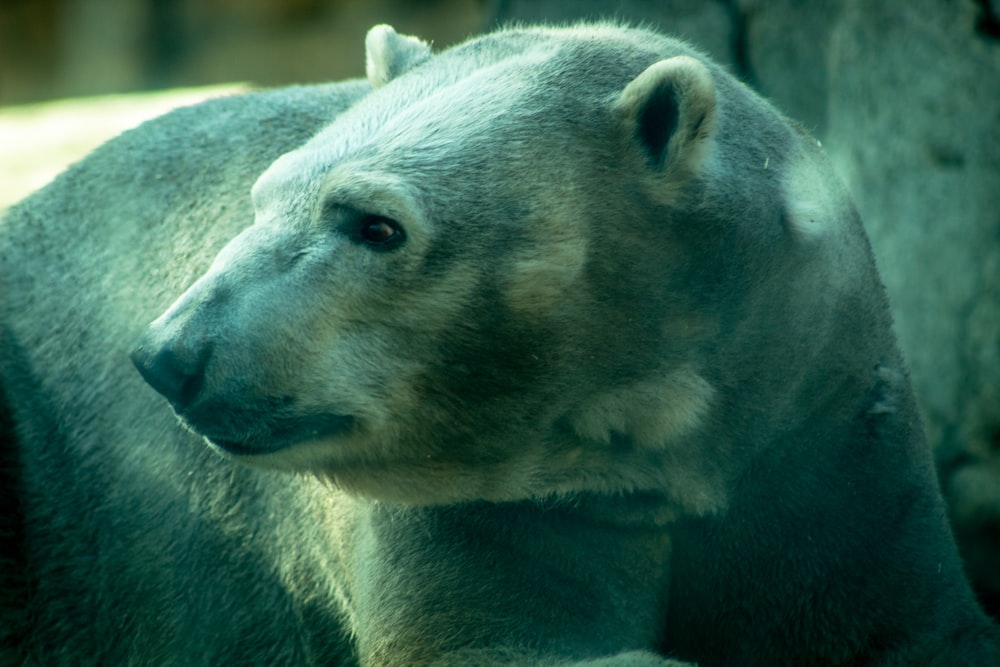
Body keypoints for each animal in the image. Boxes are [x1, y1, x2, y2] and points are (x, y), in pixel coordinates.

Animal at [1, 22, 1000, 667]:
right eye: (264, 195)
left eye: (376, 225)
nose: (171, 354)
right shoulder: (489, 504)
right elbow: (486, 637)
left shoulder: (823, 442)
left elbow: (899, 622)